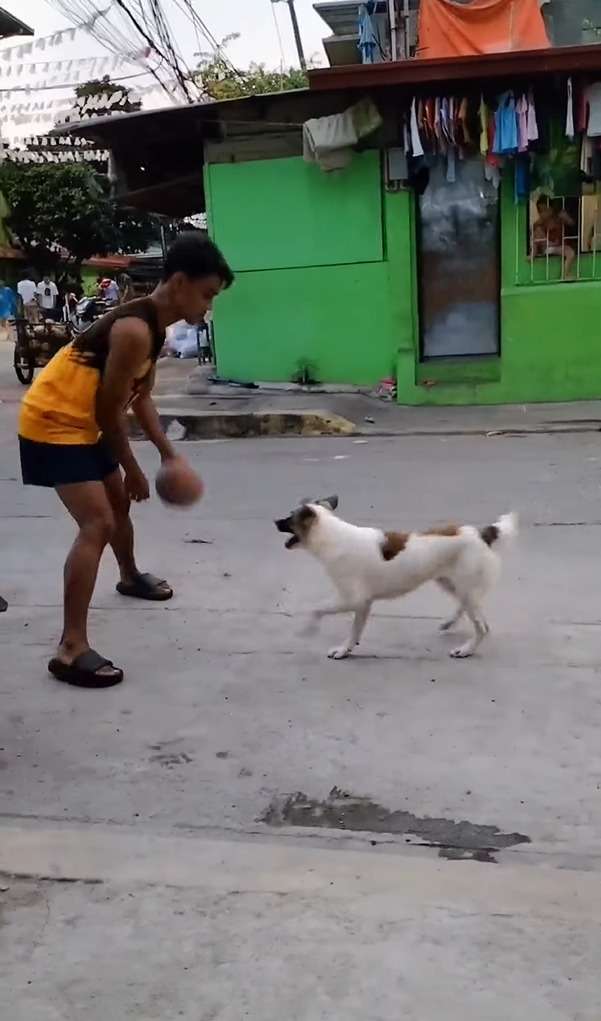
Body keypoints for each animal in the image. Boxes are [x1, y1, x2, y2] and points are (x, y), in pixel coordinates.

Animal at [277, 496, 516, 661]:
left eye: (289, 518)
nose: (275, 521)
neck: (333, 536)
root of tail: (482, 533)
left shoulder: (353, 599)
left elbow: (317, 609)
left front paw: (309, 630)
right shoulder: (364, 604)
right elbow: (355, 631)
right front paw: (346, 649)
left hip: (465, 587)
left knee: (482, 627)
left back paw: (466, 649)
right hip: (451, 583)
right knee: (465, 607)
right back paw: (450, 622)